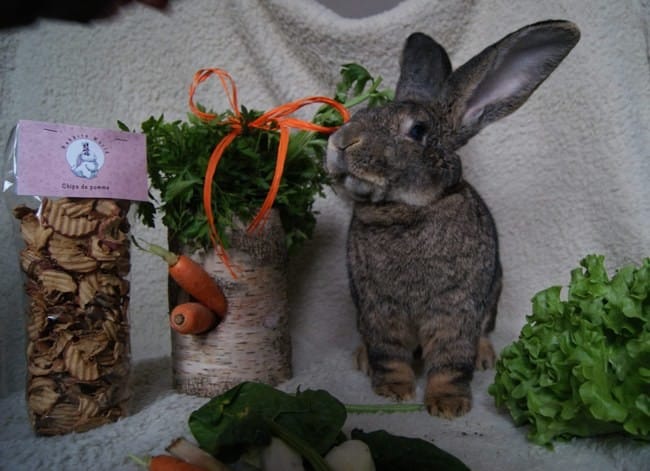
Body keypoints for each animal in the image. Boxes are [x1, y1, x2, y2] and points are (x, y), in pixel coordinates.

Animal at [325, 20, 580, 418]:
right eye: (362, 113)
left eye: (417, 131)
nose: (340, 143)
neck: (407, 209)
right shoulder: (378, 309)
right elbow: (389, 354)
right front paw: (393, 392)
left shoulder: (455, 309)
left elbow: (450, 360)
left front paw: (448, 405)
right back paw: (361, 358)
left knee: (483, 333)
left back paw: (485, 357)